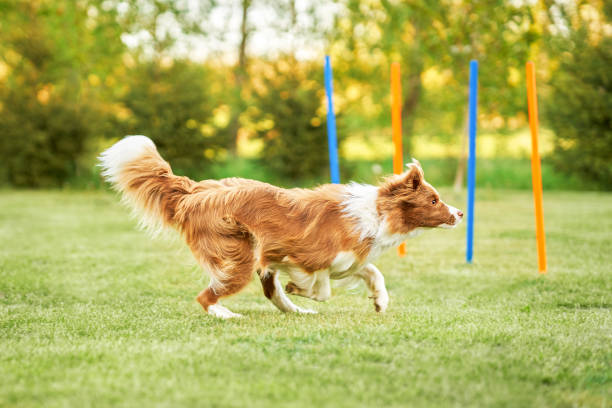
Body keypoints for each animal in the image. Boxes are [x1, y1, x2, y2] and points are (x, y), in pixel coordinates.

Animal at [101, 135, 464, 318]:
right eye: (434, 200)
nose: (460, 213)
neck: (376, 213)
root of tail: (195, 191)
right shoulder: (301, 256)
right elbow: (322, 288)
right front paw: (301, 290)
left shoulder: (348, 262)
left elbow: (373, 273)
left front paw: (380, 301)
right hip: (240, 254)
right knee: (208, 295)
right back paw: (226, 314)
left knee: (269, 291)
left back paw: (297, 311)